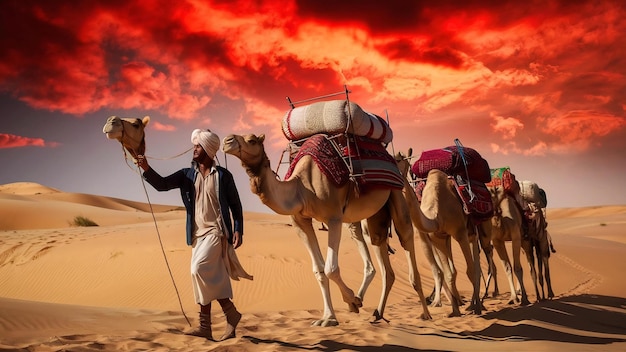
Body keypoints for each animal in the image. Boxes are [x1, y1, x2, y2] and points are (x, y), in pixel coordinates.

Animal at [222, 133, 432, 326]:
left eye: (251, 140)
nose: (227, 140)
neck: (301, 188)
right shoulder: (301, 222)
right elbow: (319, 270)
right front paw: (329, 317)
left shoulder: (333, 218)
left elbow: (331, 268)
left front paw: (352, 301)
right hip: (375, 215)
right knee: (379, 248)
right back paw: (377, 314)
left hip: (397, 193)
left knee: (406, 238)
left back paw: (425, 314)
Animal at [392, 148, 480, 316]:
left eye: (399, 160)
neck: (435, 214)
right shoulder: (436, 238)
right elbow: (448, 272)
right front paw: (454, 311)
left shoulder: (460, 233)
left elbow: (470, 271)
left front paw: (477, 308)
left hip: (473, 230)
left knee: (476, 262)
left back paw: (476, 304)